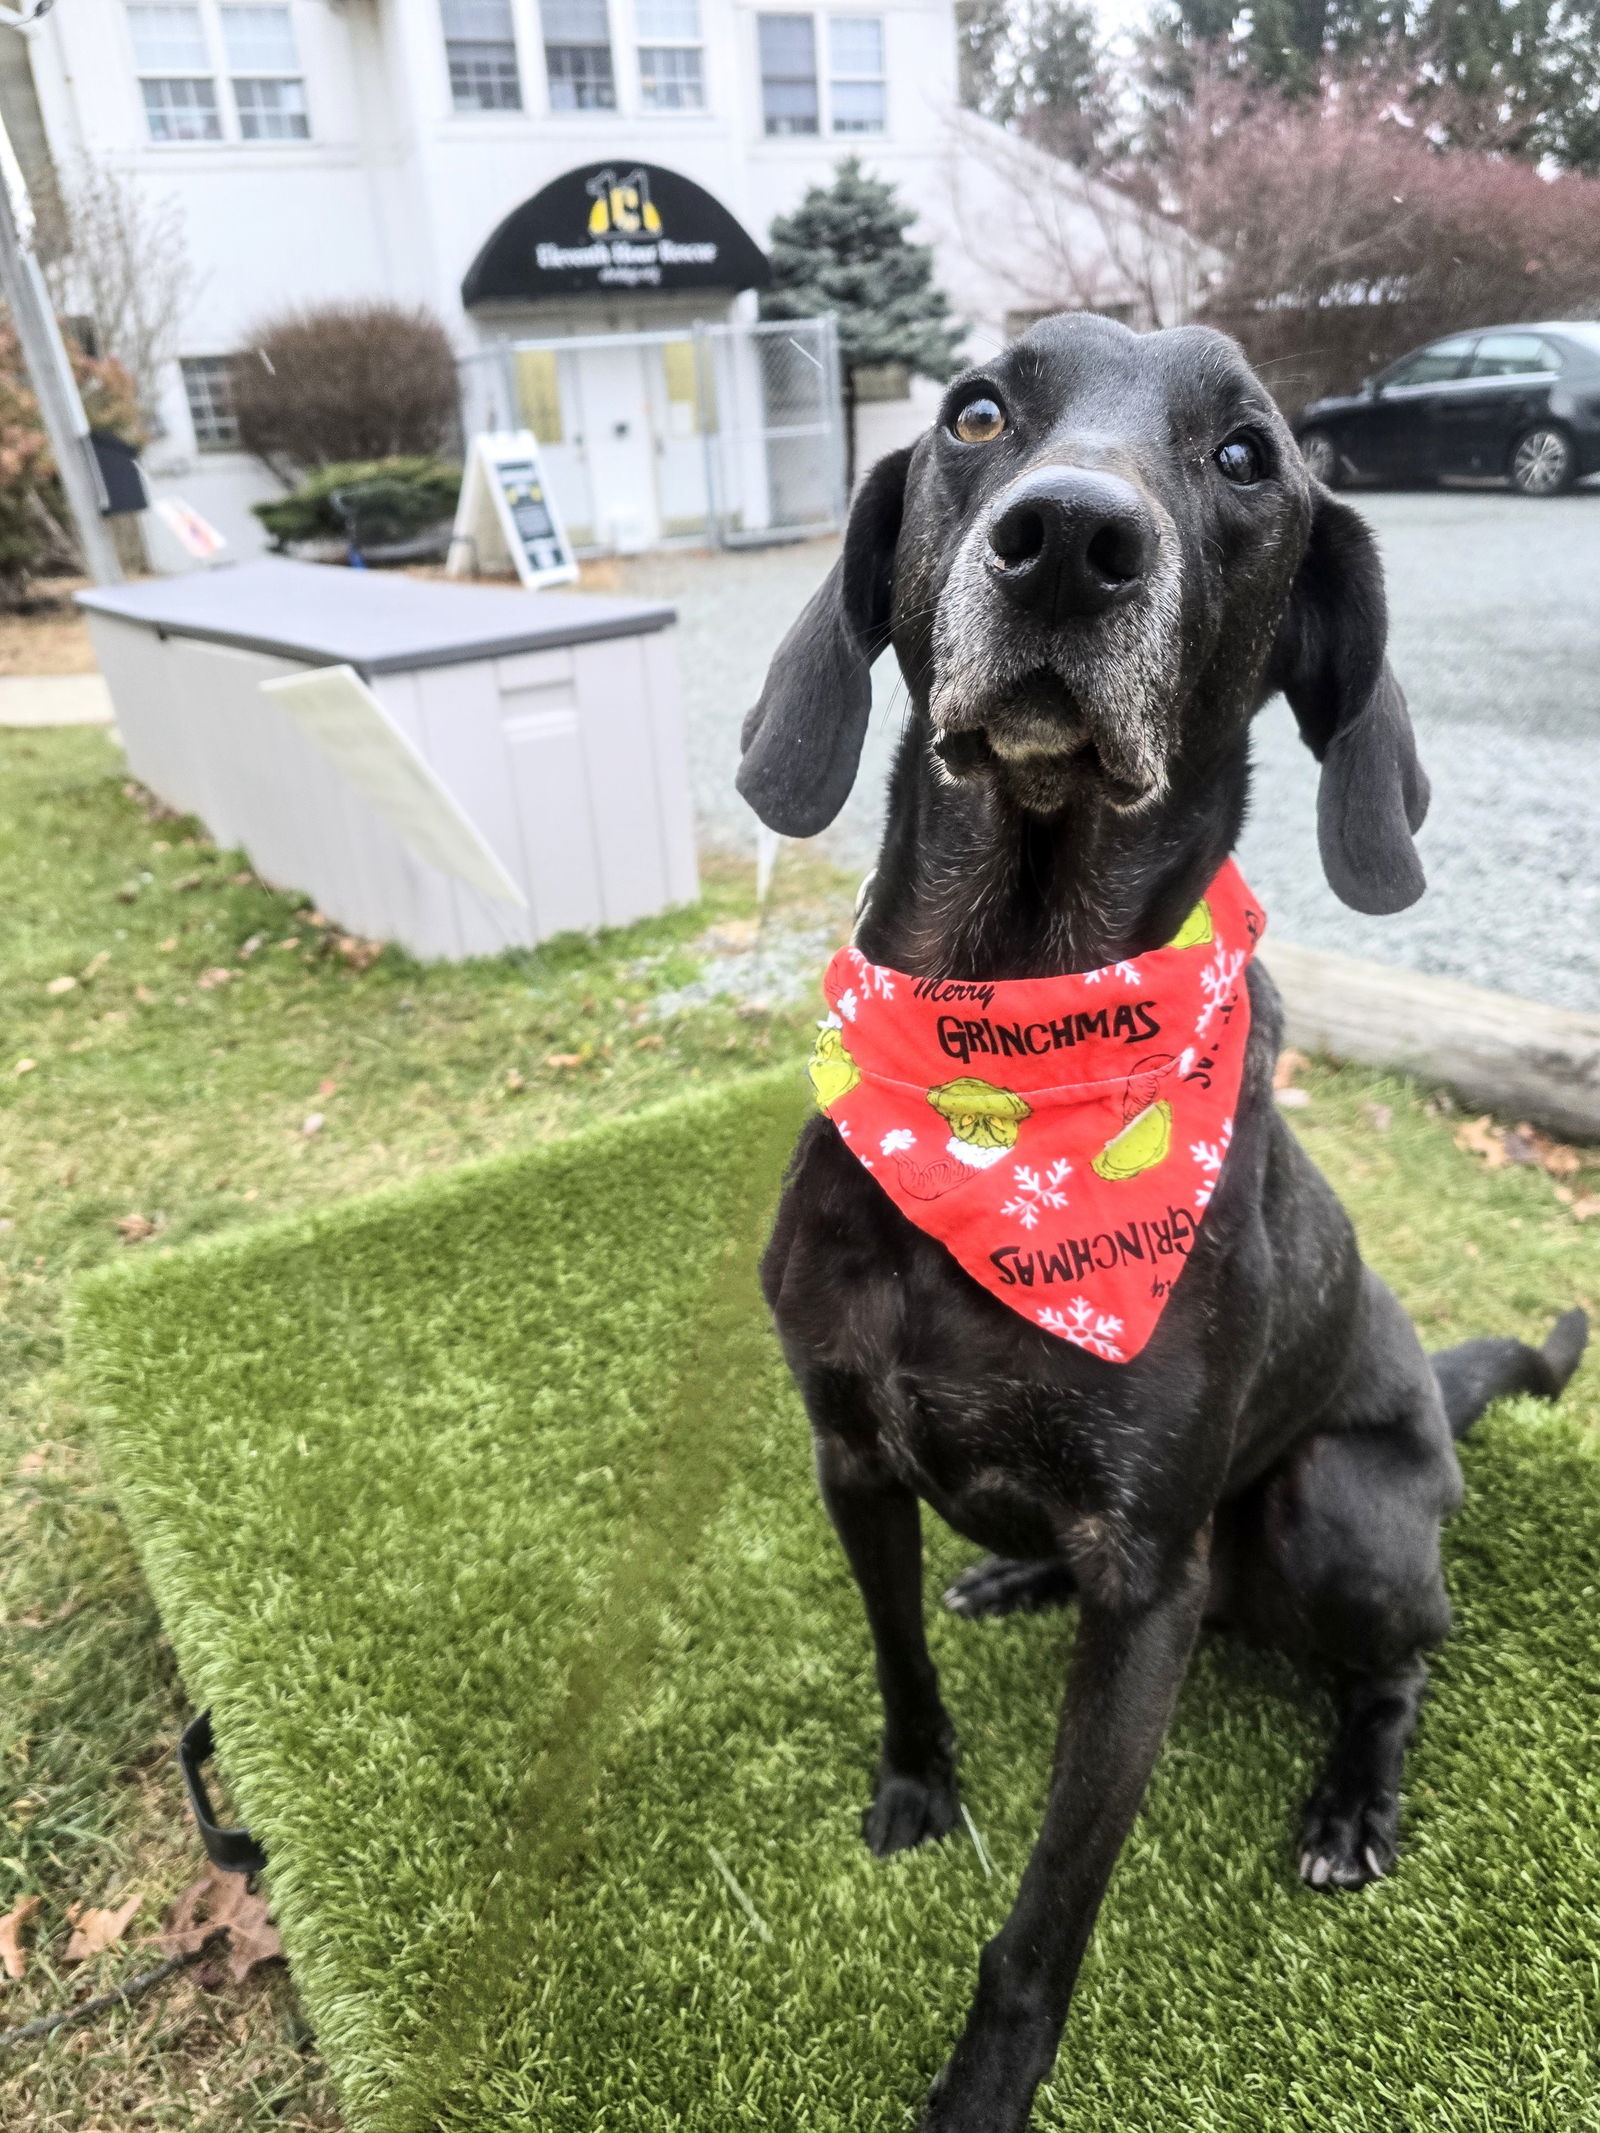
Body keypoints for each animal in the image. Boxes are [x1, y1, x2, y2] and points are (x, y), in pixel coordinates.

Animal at [738, 311, 1595, 2133]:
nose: (1069, 538)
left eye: (1248, 456)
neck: (1010, 1059)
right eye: (976, 412)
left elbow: (1045, 1912)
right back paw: (1010, 1576)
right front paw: (915, 1785)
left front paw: (980, 2094)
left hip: (1336, 1511)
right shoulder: (848, 1453)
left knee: (1406, 1658)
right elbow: (897, 1660)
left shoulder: (1149, 1585)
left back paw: (1352, 1801)